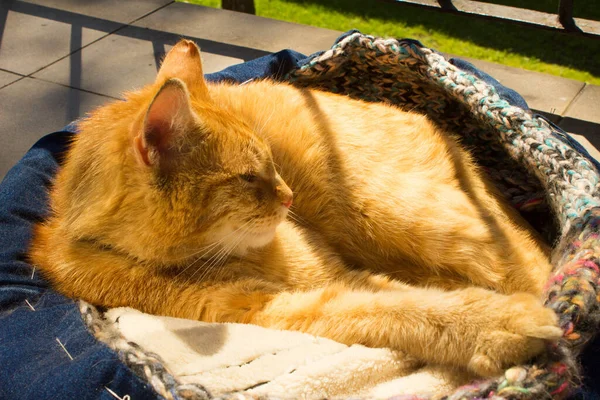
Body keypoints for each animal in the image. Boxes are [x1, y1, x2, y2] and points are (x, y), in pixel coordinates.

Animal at [29, 39, 564, 376]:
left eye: (271, 159)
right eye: (249, 177)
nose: (287, 198)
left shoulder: (330, 276)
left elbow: (402, 304)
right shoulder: (275, 309)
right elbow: (389, 309)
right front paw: (492, 323)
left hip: (395, 209)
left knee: (536, 262)